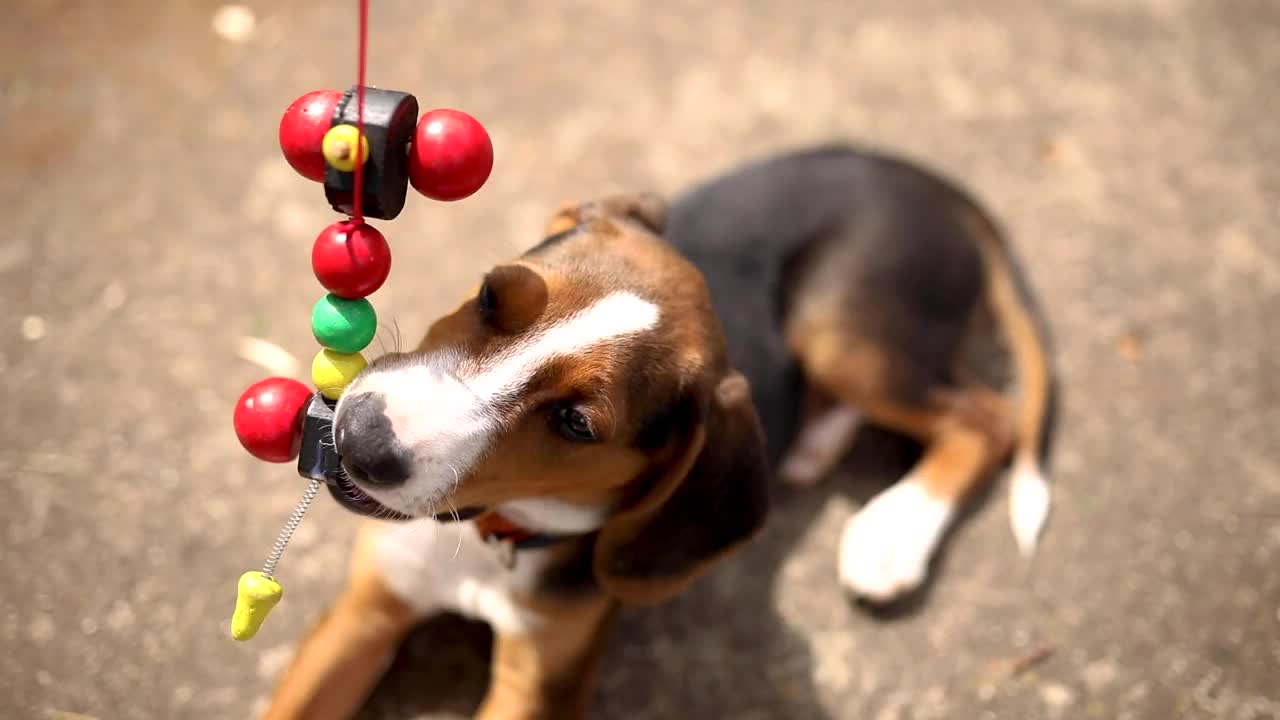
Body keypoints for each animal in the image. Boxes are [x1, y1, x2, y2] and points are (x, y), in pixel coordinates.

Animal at [257, 142, 1049, 712]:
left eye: (576, 424)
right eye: (488, 295)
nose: (362, 437)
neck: (492, 539)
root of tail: (926, 181)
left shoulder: (539, 680)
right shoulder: (363, 613)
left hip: (843, 328)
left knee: (987, 416)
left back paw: (893, 535)